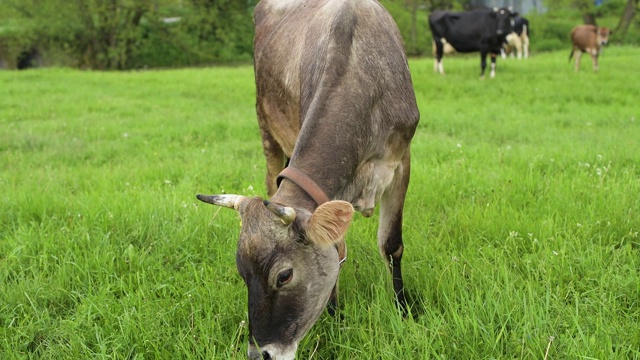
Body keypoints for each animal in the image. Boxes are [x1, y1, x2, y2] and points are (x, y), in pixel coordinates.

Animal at [198, 0, 422, 360]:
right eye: (242, 273)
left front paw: (403, 310)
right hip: (267, 130)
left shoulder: (401, 162)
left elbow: (391, 245)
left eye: (284, 276)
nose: (260, 354)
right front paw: (336, 318)